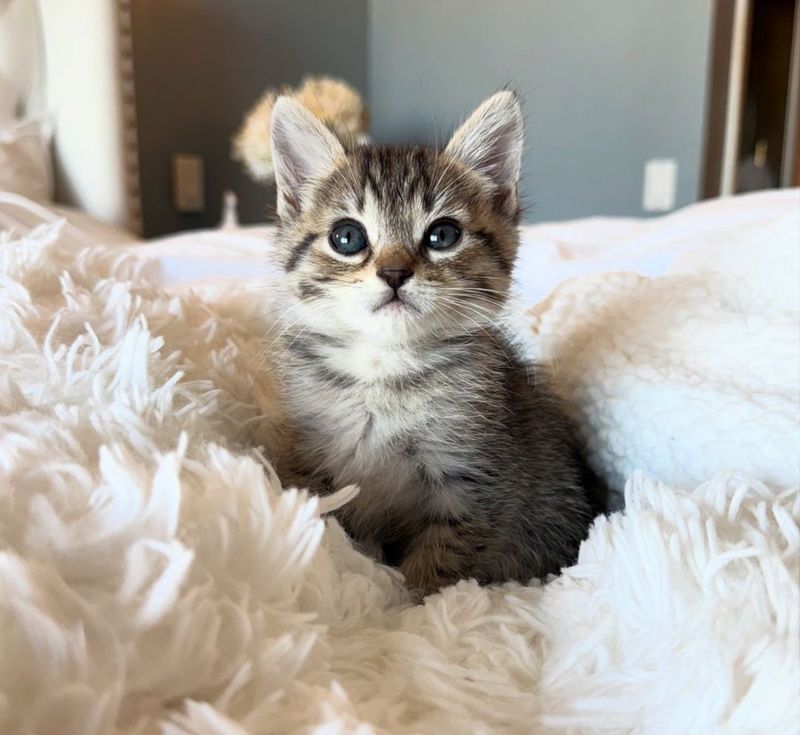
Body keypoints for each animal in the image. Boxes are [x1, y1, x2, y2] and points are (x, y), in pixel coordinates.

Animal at [268, 93, 600, 600]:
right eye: (347, 237)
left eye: (443, 235)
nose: (394, 273)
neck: (384, 370)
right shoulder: (311, 455)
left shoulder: (476, 480)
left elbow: (439, 565)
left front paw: (402, 605)